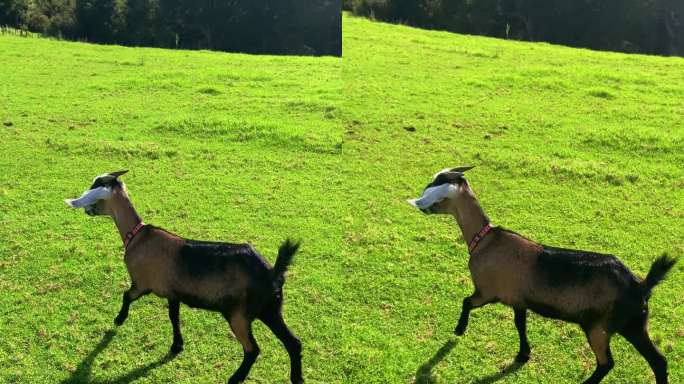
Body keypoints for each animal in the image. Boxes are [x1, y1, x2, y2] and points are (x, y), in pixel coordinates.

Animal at [66, 171, 302, 384]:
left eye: (95, 187)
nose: (86, 210)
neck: (137, 235)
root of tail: (272, 272)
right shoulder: (173, 293)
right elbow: (174, 317)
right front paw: (177, 345)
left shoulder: (143, 284)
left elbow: (126, 296)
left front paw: (119, 319)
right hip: (271, 309)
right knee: (294, 343)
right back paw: (297, 378)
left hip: (239, 315)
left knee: (252, 349)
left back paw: (235, 378)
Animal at [408, 166, 676, 384]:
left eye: (436, 184)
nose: (419, 205)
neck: (484, 239)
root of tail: (640, 285)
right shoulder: (518, 300)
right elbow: (520, 324)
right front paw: (523, 354)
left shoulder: (487, 292)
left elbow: (466, 302)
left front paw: (459, 330)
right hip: (635, 324)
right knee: (658, 360)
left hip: (598, 327)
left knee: (607, 363)